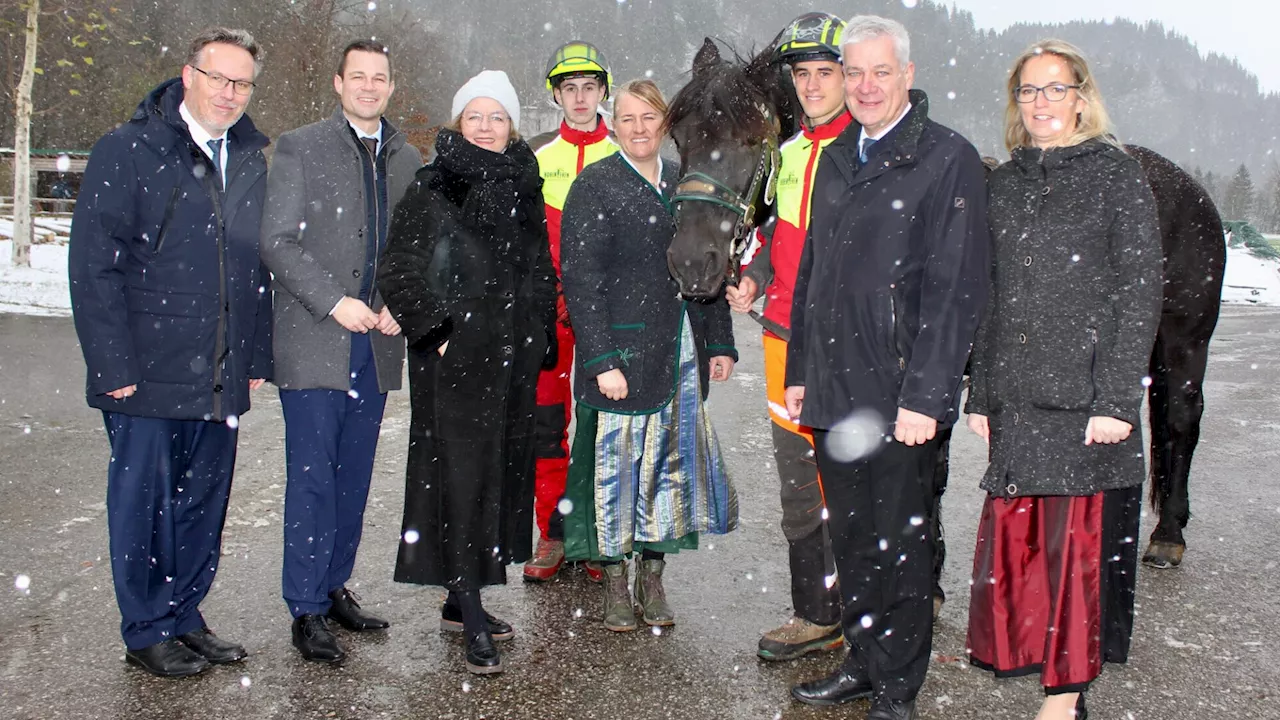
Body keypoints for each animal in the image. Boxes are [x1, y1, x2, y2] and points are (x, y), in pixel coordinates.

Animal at [665, 39, 1223, 568]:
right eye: (682, 138)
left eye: (750, 140)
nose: (691, 261)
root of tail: (1190, 190)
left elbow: (926, 475)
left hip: (1185, 341)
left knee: (1181, 419)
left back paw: (1168, 534)